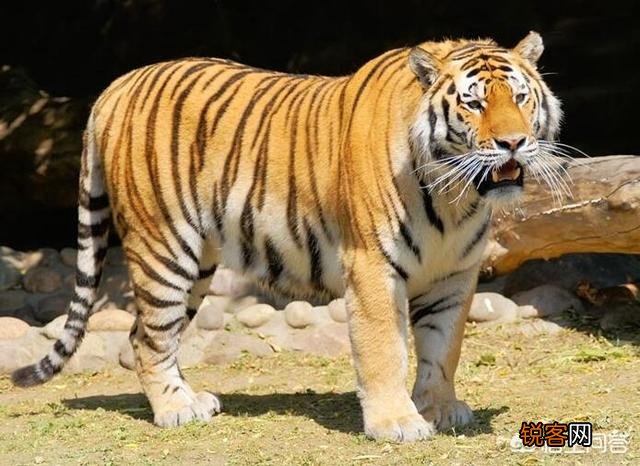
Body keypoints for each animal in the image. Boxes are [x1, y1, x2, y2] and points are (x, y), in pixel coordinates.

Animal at [12, 31, 562, 442]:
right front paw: (397, 423)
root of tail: (117, 84)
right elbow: (385, 348)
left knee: (141, 333)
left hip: (198, 261)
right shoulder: (371, 266)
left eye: (519, 97)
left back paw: (194, 399)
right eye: (473, 104)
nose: (513, 142)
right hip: (164, 247)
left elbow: (443, 348)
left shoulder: (454, 273)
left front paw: (440, 409)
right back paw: (175, 410)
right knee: (149, 336)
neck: (456, 195)